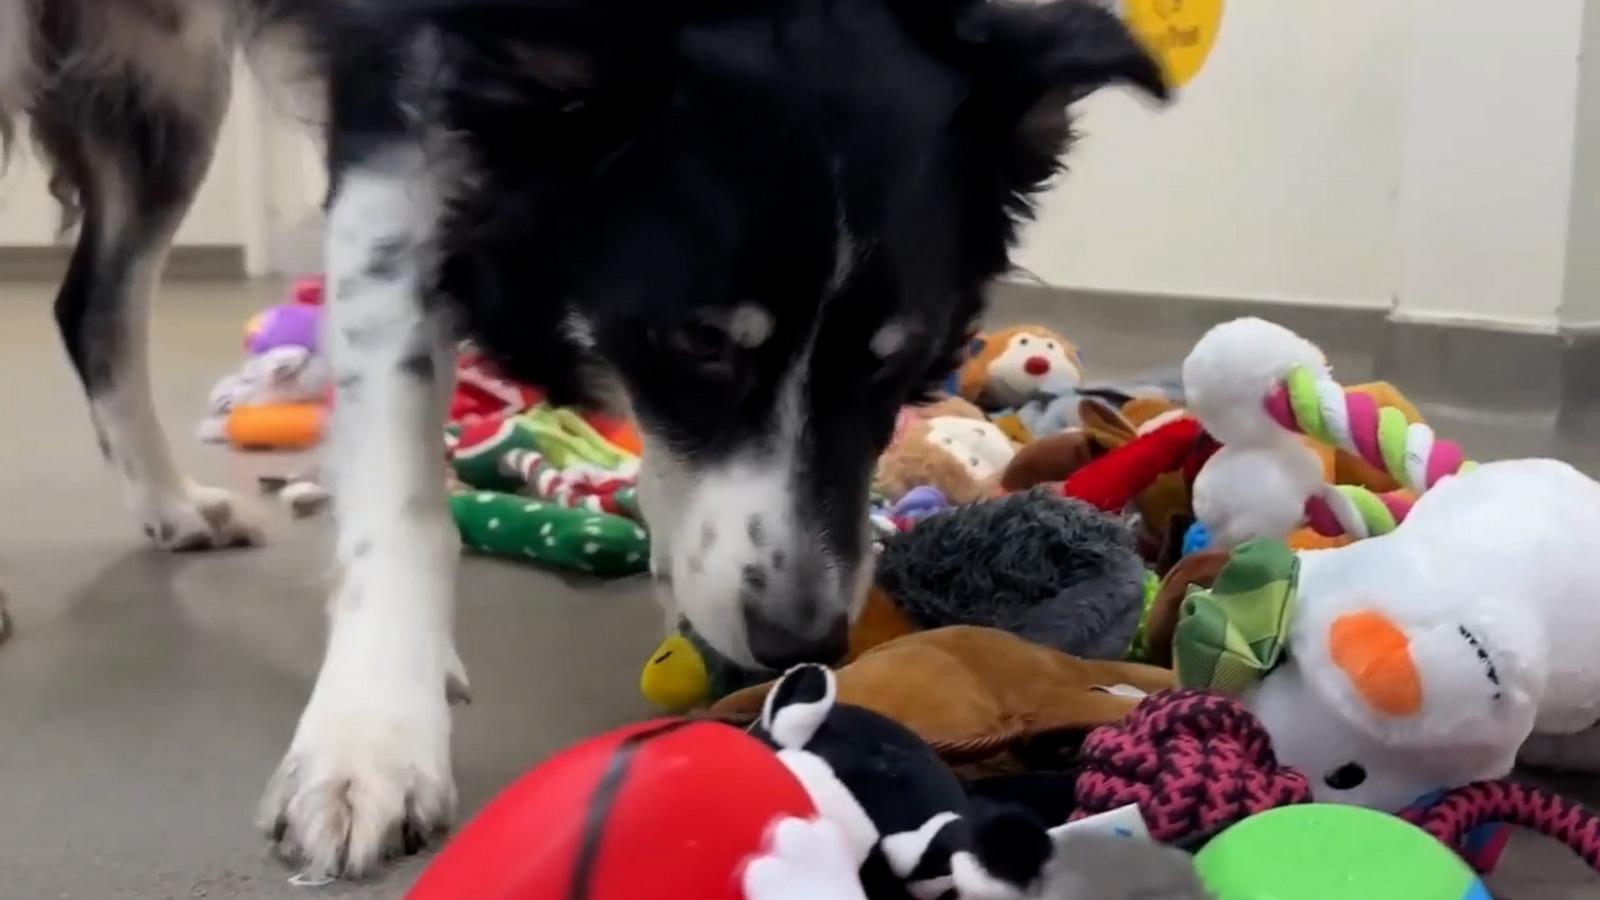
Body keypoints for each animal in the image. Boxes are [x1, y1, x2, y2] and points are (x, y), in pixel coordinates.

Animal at [6, 0, 1171, 877]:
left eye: (903, 356)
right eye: (698, 340)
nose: (802, 642)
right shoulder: (399, 110)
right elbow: (397, 474)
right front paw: (372, 738)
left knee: (89, 303)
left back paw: (169, 503)